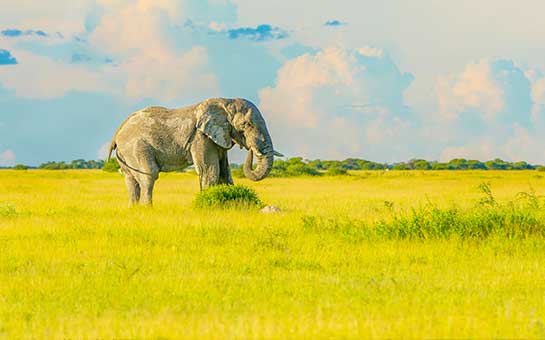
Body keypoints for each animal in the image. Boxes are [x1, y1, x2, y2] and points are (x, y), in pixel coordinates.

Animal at [108, 97, 282, 206]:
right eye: (246, 125)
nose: (252, 150)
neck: (226, 102)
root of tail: (117, 133)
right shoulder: (201, 137)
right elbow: (210, 170)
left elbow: (224, 172)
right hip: (136, 147)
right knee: (149, 175)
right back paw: (147, 209)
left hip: (125, 154)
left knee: (130, 180)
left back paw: (133, 209)